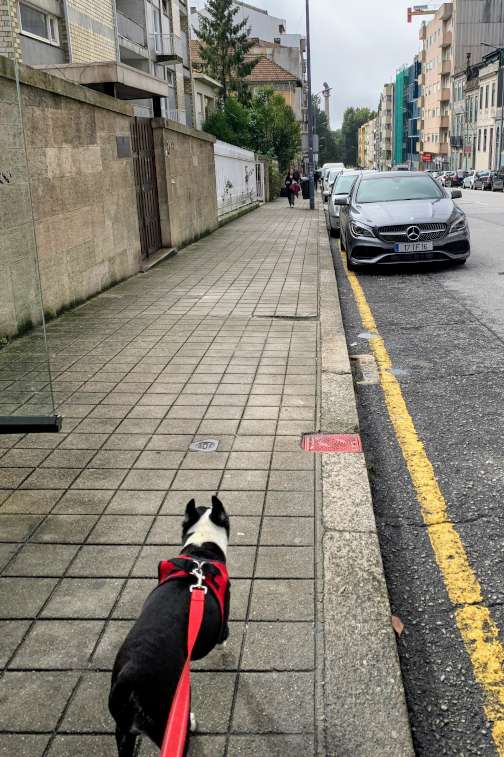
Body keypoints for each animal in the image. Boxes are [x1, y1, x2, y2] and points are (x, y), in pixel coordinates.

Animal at [109, 496, 231, 756]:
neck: (201, 550)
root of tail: (128, 684)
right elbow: (223, 634)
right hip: (166, 721)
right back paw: (190, 722)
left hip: (122, 732)